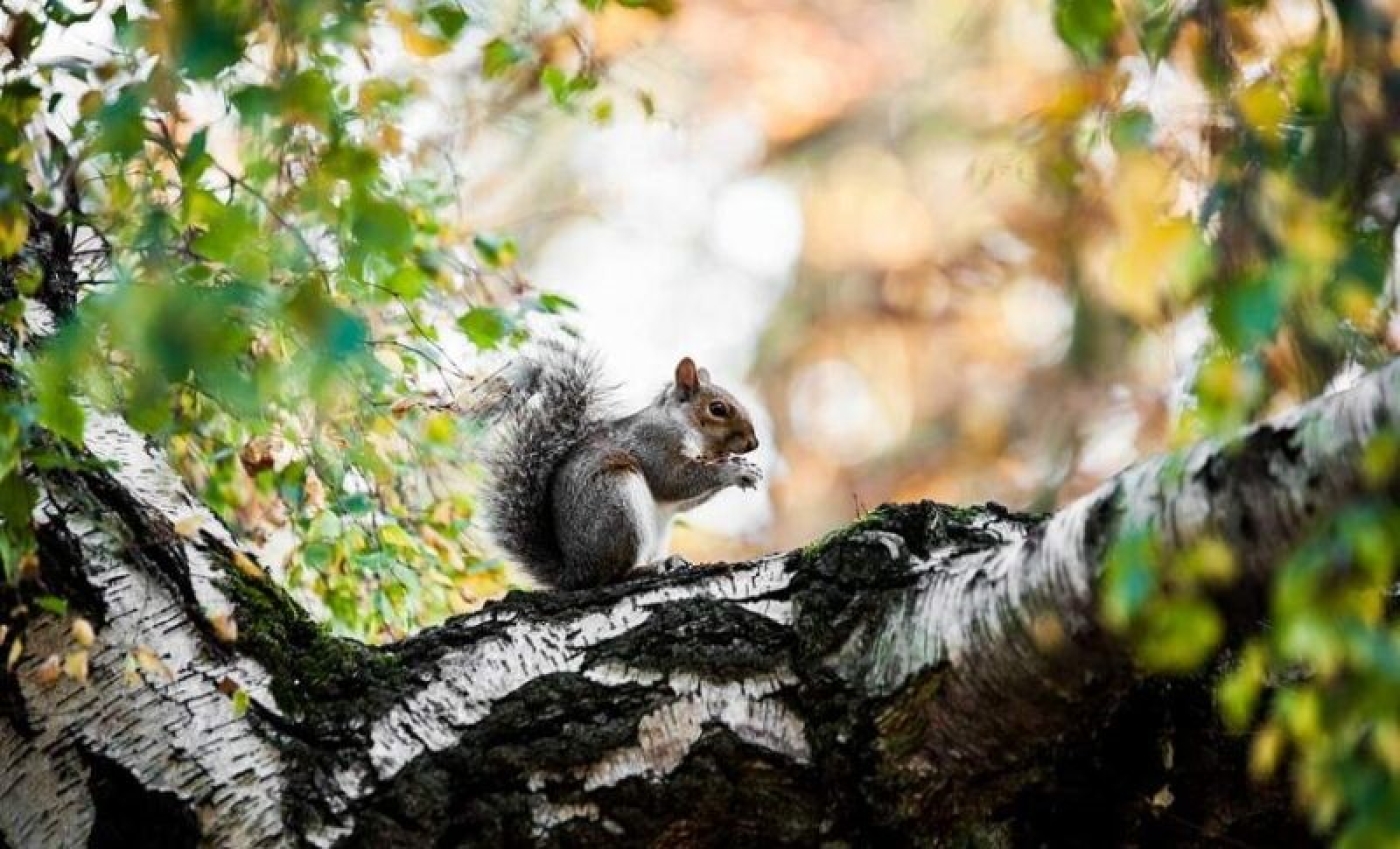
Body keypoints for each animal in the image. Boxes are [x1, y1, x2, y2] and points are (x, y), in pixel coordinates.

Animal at [473, 339, 761, 591]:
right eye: (717, 409)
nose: (754, 443)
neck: (680, 423)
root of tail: (576, 573)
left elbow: (684, 500)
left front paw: (745, 468)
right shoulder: (653, 443)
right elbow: (672, 480)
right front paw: (734, 470)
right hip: (617, 501)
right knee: (612, 576)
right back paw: (645, 569)